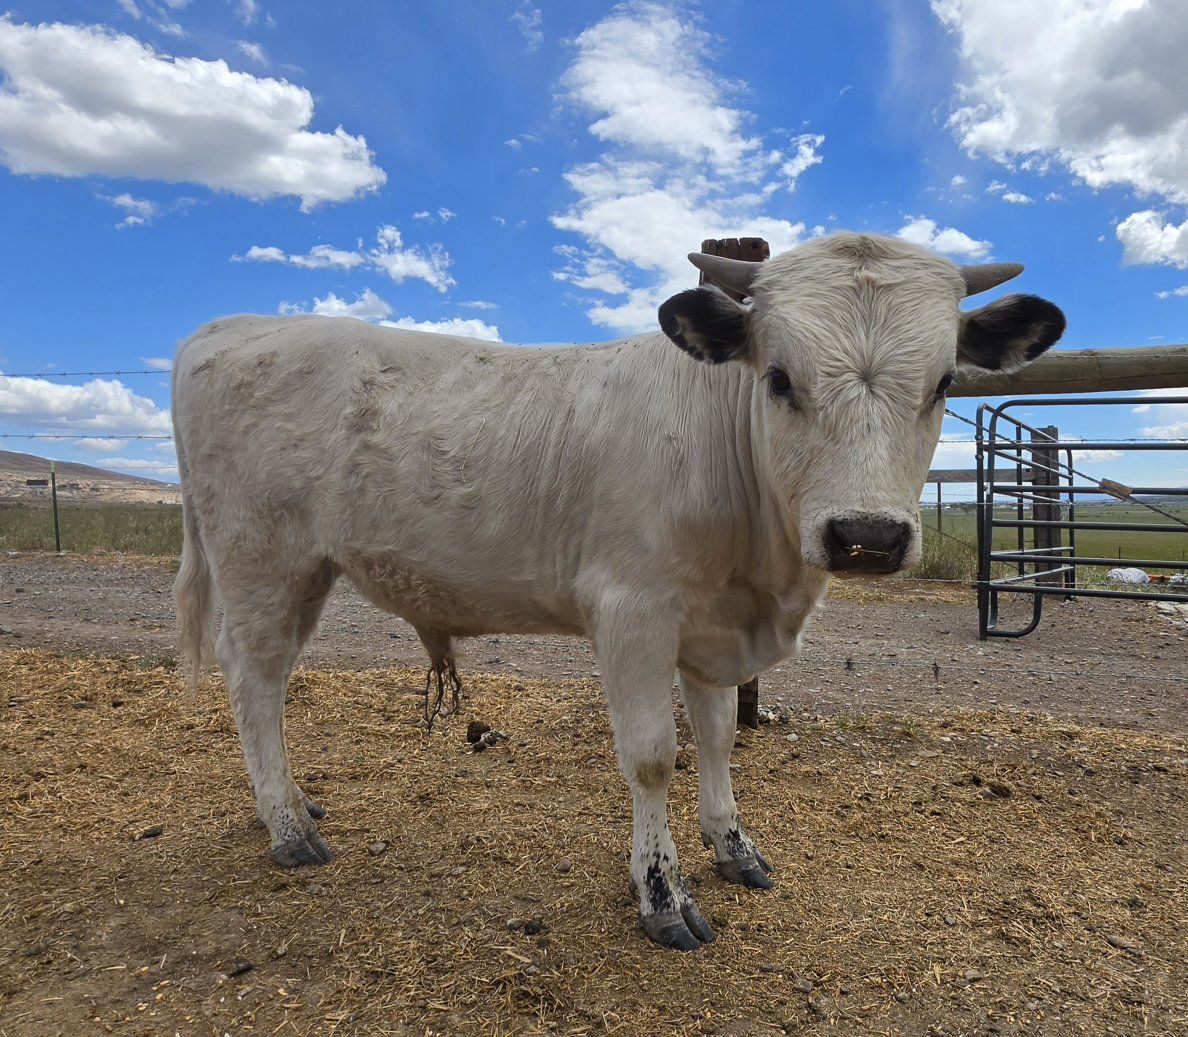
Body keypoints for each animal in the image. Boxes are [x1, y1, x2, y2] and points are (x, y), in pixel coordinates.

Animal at [172, 232, 1064, 950]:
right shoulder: (633, 612)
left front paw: (733, 844)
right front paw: (662, 894)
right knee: (254, 679)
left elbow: (716, 738)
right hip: (261, 562)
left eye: (944, 382)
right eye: (779, 378)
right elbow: (652, 755)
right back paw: (287, 824)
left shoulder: (712, 631)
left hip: (306, 575)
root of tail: (227, 327)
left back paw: (296, 799)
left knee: (272, 680)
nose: (867, 536)